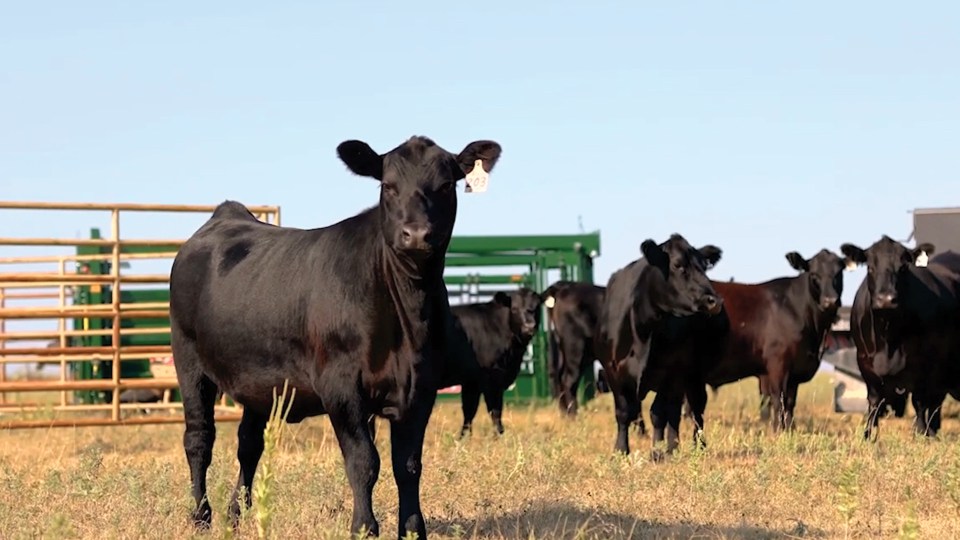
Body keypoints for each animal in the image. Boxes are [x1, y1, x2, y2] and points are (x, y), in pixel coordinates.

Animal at [169, 135, 502, 540]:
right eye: (388, 186)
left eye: (445, 186)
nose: (417, 234)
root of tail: (226, 215)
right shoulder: (340, 386)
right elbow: (364, 461)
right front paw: (363, 527)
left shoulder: (421, 387)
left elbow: (408, 466)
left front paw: (412, 530)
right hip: (188, 361)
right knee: (198, 439)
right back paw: (200, 516)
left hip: (259, 381)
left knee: (249, 443)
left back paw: (236, 515)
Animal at [446, 286, 544, 434]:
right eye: (514, 308)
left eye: (537, 306)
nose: (529, 327)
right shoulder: (492, 379)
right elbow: (494, 412)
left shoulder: (471, 382)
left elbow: (469, 412)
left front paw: (463, 437)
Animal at [596, 234, 724, 458]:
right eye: (678, 265)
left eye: (704, 266)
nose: (713, 301)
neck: (645, 330)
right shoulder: (612, 369)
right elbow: (623, 412)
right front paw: (620, 450)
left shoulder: (671, 372)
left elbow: (658, 413)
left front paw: (657, 451)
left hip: (693, 374)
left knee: (693, 408)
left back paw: (692, 447)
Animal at [840, 236, 960, 438]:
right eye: (870, 267)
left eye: (903, 268)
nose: (886, 299)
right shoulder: (864, 361)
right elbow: (874, 401)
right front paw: (869, 434)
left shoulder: (926, 363)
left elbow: (919, 401)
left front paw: (921, 432)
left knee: (935, 400)